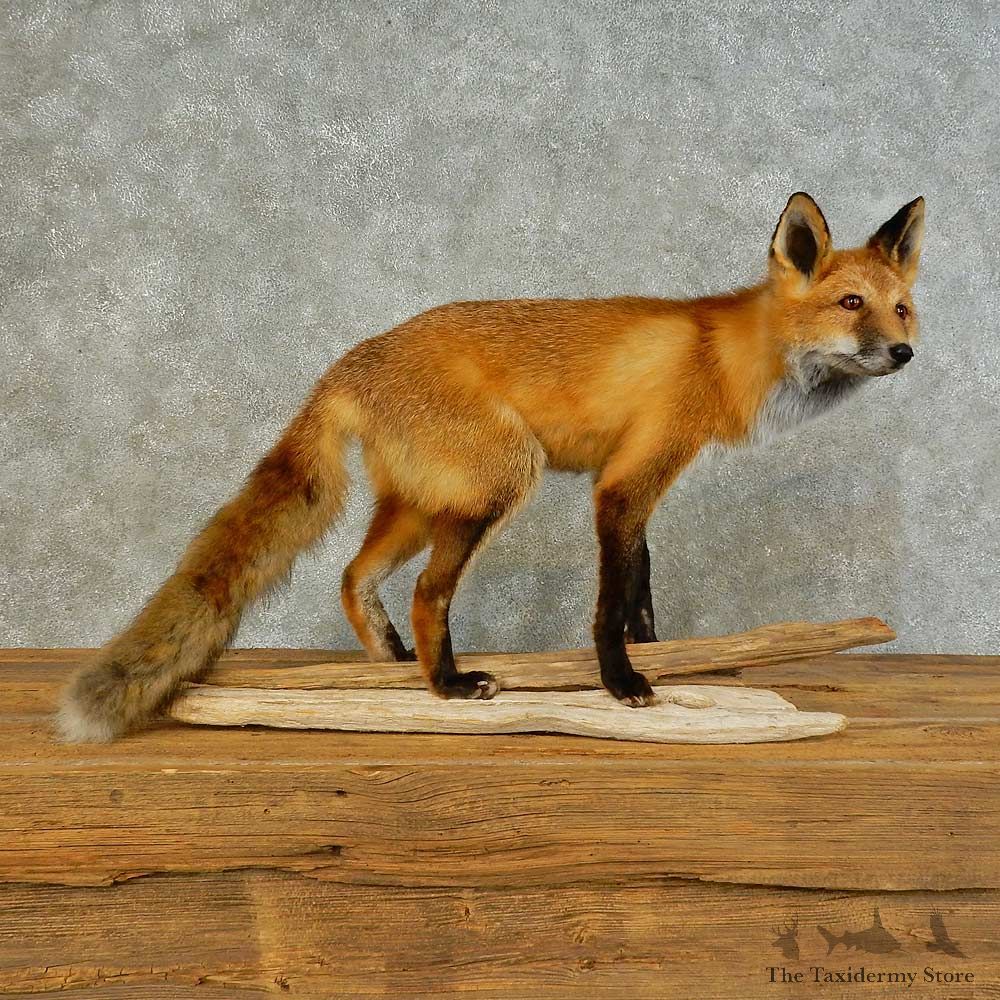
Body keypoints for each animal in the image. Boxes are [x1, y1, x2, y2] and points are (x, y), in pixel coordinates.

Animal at [56, 191, 925, 742]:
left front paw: (668, 659)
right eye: (851, 305)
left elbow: (642, 588)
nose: (905, 352)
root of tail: (349, 362)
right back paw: (445, 685)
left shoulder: (631, 483)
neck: (721, 354)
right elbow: (610, 603)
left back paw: (392, 673)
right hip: (500, 481)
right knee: (425, 592)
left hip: (422, 501)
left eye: (902, 308)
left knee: (353, 575)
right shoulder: (626, 481)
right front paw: (623, 683)